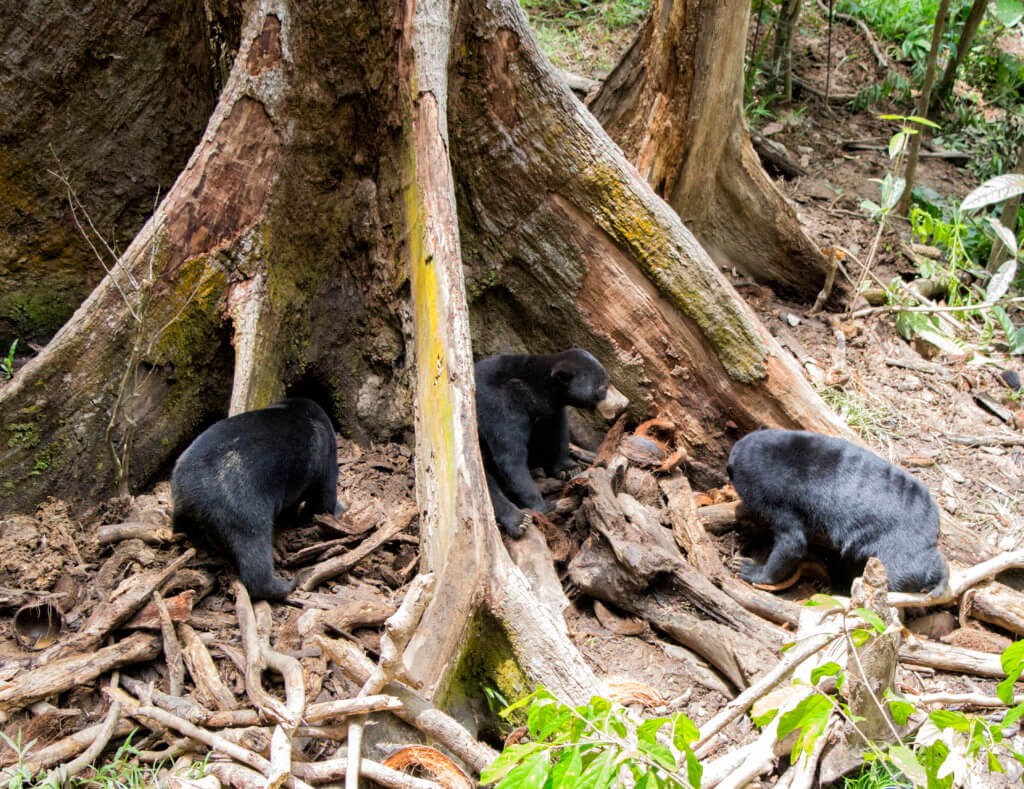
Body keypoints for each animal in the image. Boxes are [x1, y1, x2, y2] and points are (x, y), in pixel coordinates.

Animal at [167, 399, 344, 601]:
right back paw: (286, 584)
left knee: (181, 524)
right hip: (242, 506)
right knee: (254, 553)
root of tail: (192, 488)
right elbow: (324, 494)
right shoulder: (326, 455)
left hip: (182, 504)